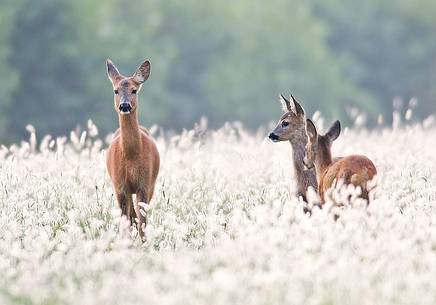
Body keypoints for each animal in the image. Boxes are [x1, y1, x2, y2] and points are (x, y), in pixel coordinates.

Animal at [105, 58, 160, 238]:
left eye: (134, 90)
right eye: (115, 90)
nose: (124, 105)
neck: (130, 156)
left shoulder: (144, 183)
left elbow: (142, 221)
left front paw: (143, 242)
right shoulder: (120, 185)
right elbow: (126, 220)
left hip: (151, 184)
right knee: (131, 215)